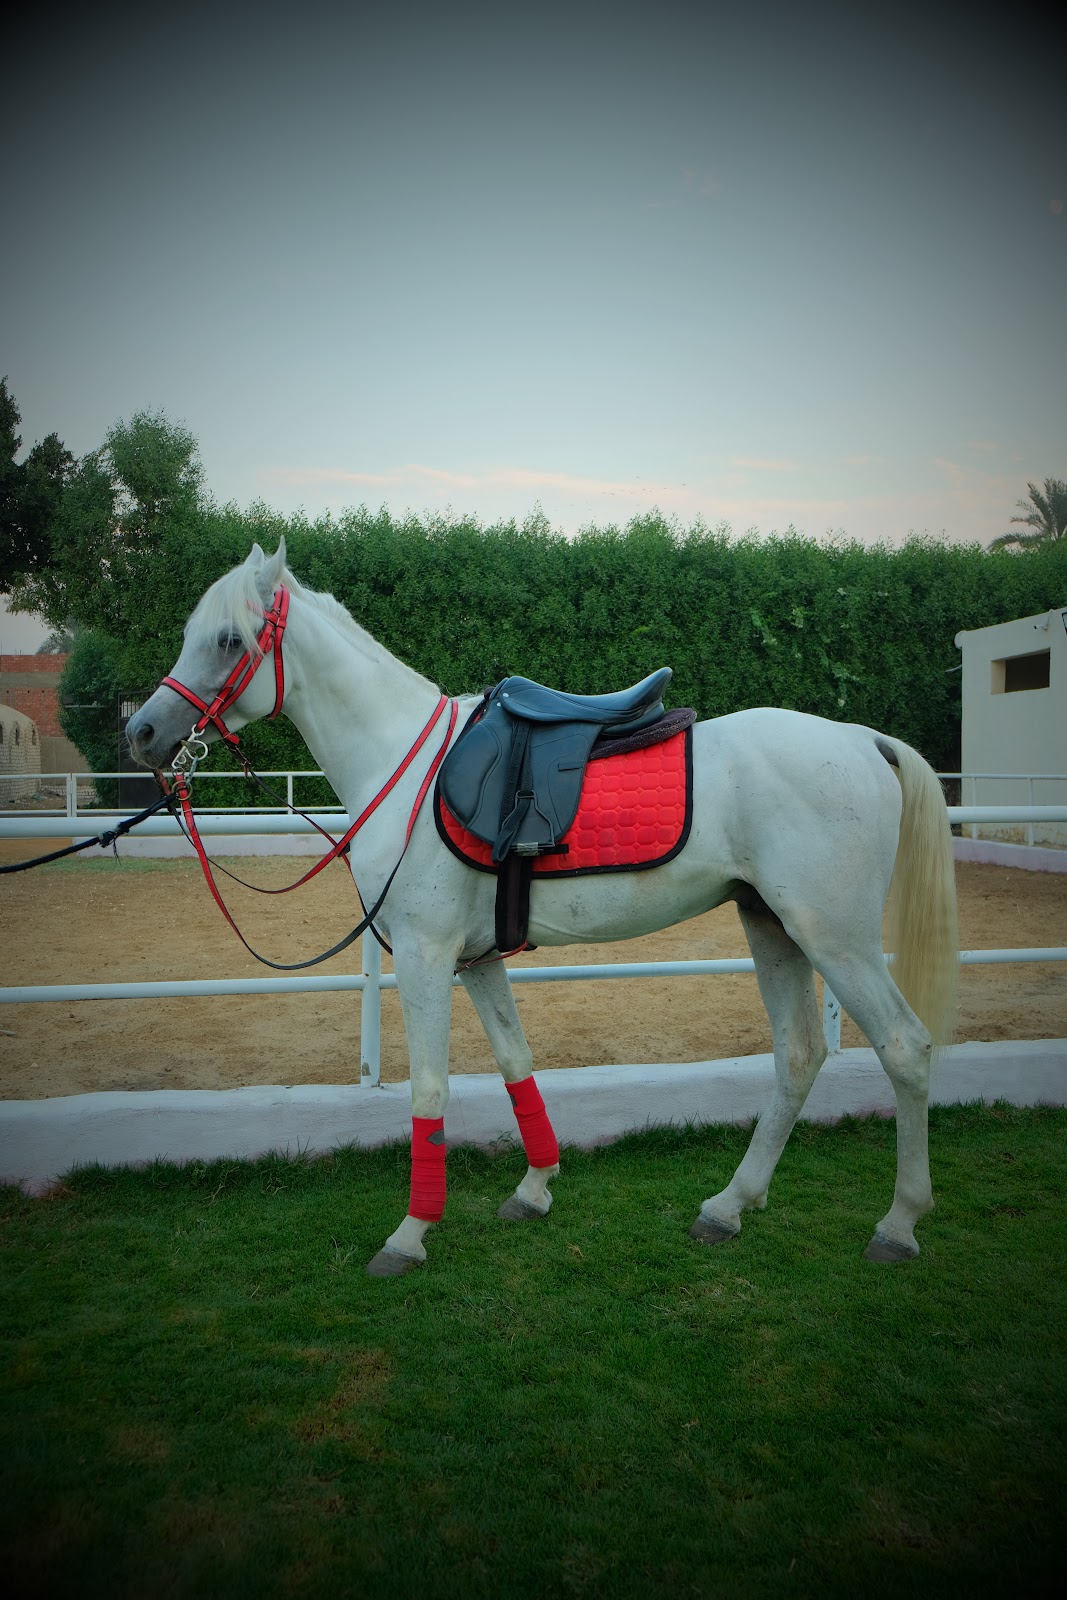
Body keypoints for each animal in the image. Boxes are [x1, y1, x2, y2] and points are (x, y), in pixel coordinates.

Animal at [126, 539, 959, 1276]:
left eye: (228, 639)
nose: (143, 731)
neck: (406, 768)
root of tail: (861, 739)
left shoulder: (426, 956)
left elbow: (430, 1087)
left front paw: (409, 1234)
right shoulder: (475, 958)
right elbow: (515, 1061)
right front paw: (533, 1188)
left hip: (835, 937)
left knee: (904, 1048)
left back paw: (898, 1224)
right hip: (773, 926)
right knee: (797, 1055)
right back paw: (727, 1206)